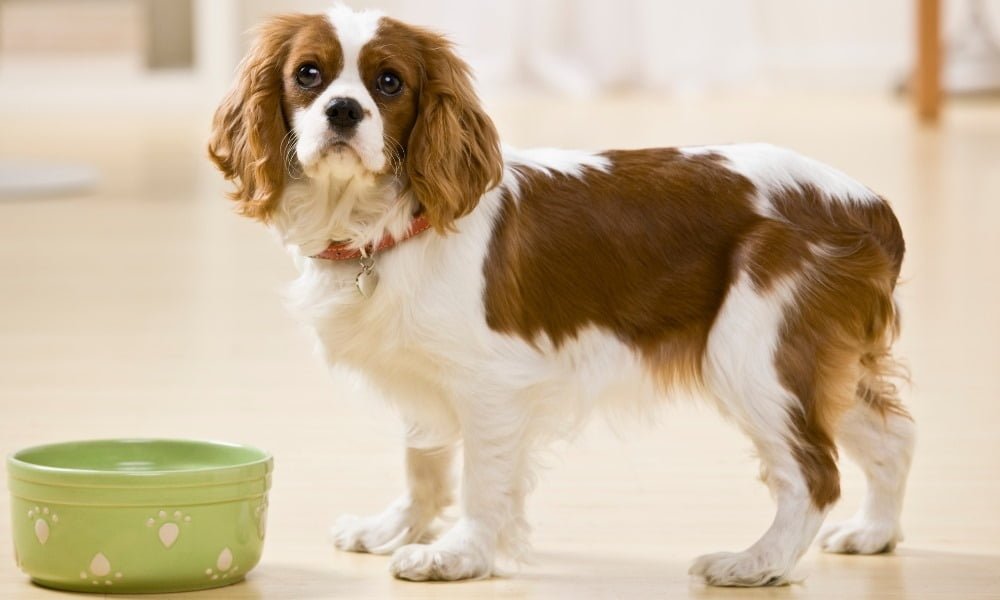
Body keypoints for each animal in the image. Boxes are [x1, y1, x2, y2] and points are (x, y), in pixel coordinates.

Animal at [209, 3, 916, 584]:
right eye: (308, 74)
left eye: (389, 84)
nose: (343, 111)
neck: (382, 224)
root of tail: (868, 204)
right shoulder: (424, 371)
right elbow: (425, 460)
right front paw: (395, 528)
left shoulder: (490, 385)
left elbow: (481, 480)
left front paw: (458, 556)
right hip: (818, 362)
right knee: (892, 439)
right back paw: (874, 534)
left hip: (752, 357)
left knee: (814, 474)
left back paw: (756, 563)